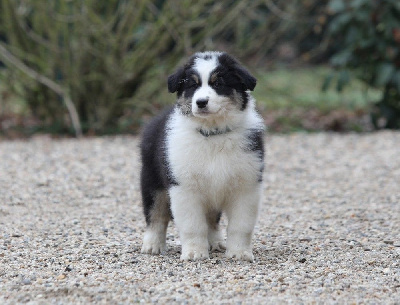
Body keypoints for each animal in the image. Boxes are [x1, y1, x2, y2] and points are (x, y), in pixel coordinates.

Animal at [139, 51, 264, 260]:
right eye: (192, 85)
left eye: (218, 83)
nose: (201, 102)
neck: (212, 134)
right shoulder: (185, 187)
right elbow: (193, 225)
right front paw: (194, 254)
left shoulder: (246, 186)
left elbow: (241, 225)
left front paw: (239, 253)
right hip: (152, 180)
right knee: (155, 214)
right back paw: (152, 245)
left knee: (211, 219)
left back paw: (215, 243)